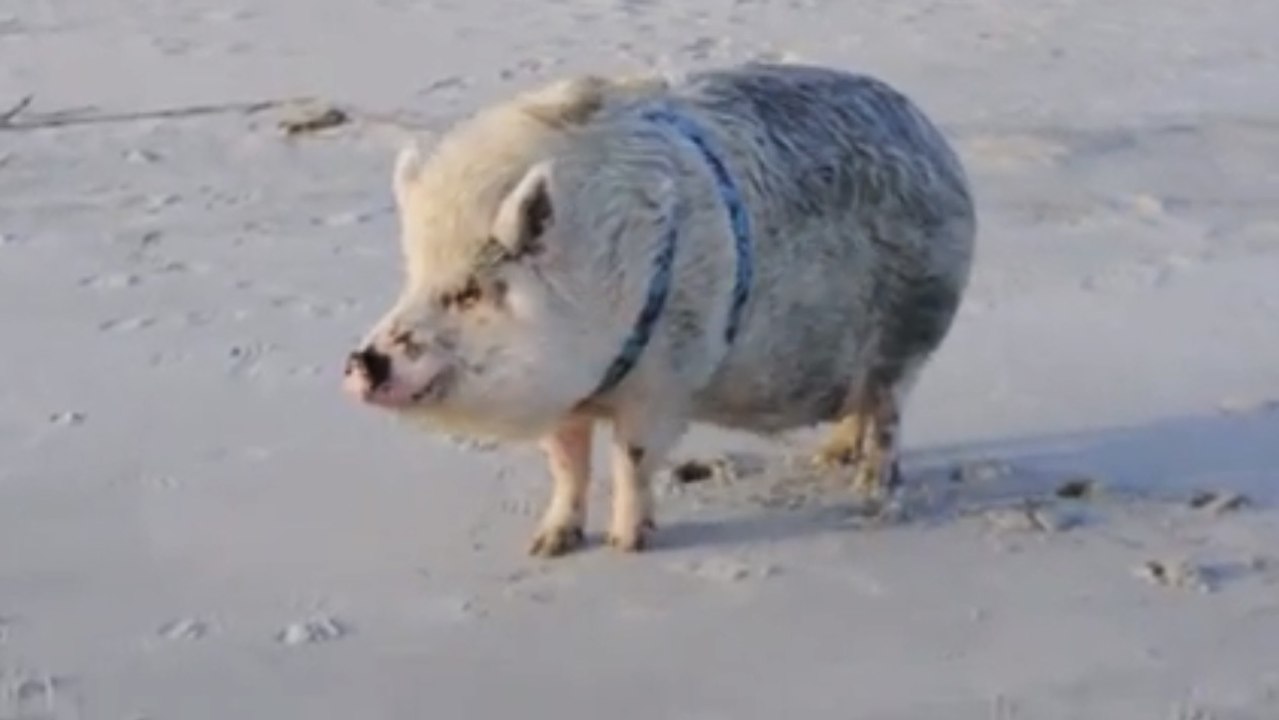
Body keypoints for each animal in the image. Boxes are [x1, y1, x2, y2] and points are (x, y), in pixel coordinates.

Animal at [342, 61, 976, 557]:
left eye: (471, 291)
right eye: (414, 276)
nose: (360, 362)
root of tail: (938, 146)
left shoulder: (664, 381)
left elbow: (633, 459)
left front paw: (627, 545)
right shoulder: (568, 398)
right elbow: (567, 466)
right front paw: (547, 546)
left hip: (912, 326)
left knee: (888, 413)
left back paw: (872, 490)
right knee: (860, 409)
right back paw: (831, 459)